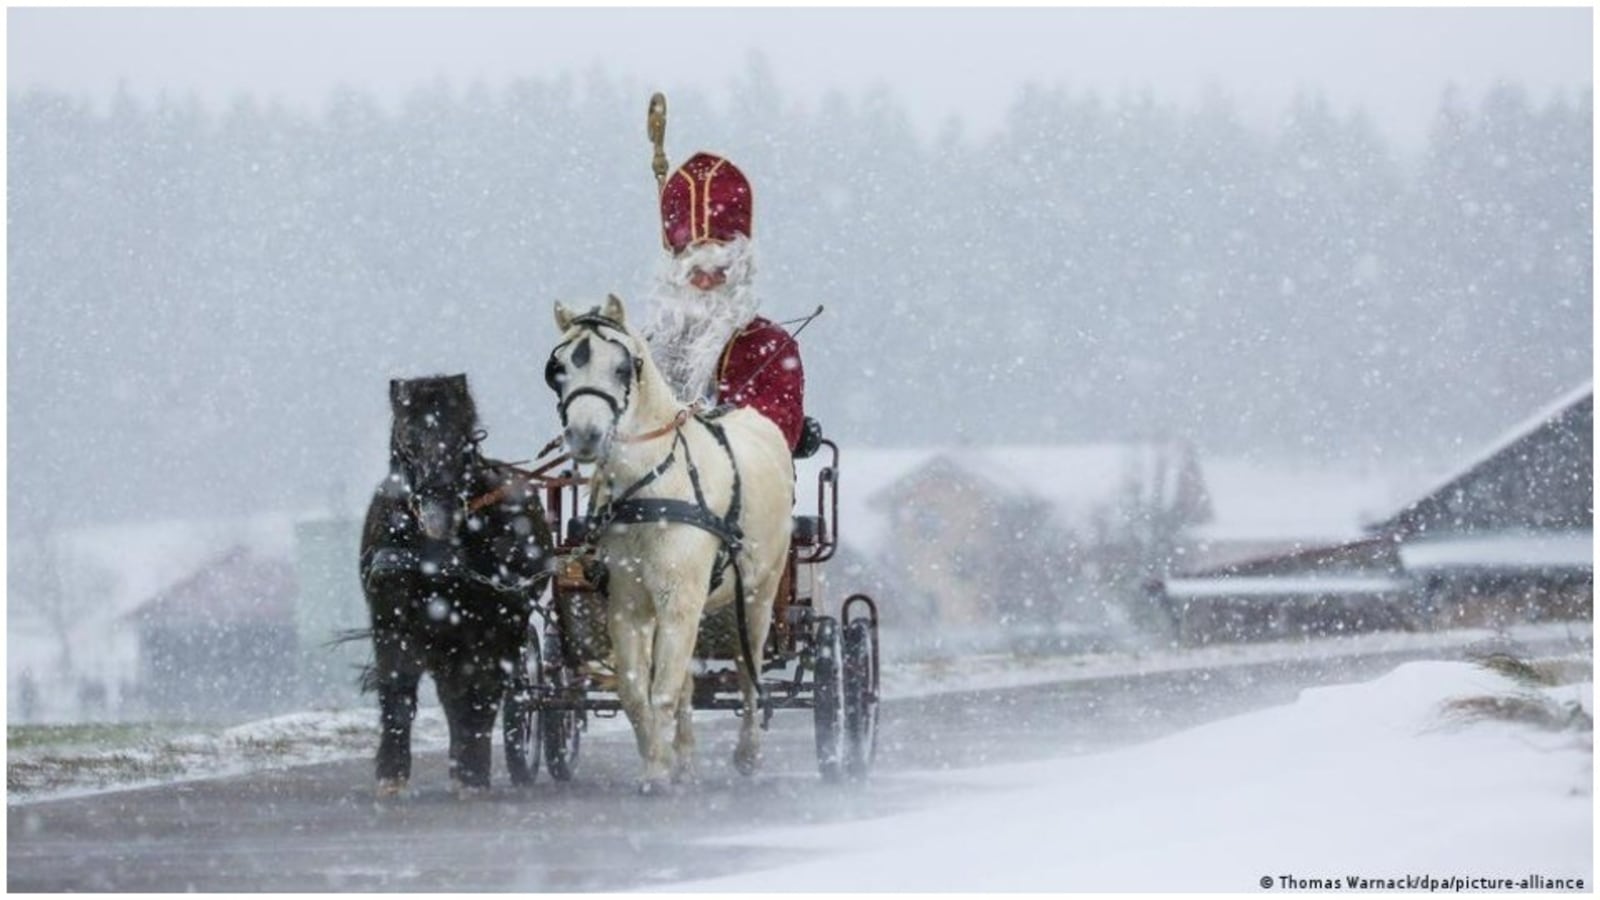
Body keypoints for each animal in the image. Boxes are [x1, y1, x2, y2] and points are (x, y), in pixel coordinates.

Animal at [356, 371, 556, 791]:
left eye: (465, 439)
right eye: (407, 443)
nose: (438, 516)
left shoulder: (491, 624)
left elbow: (481, 691)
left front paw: (473, 769)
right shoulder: (391, 619)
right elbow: (397, 688)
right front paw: (391, 772)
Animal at [547, 294, 796, 784]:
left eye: (623, 367)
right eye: (558, 368)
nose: (585, 436)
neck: (654, 485)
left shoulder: (678, 593)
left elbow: (661, 689)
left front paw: (657, 774)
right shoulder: (627, 600)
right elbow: (635, 691)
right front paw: (659, 762)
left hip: (759, 590)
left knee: (748, 667)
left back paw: (747, 752)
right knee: (687, 680)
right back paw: (685, 758)